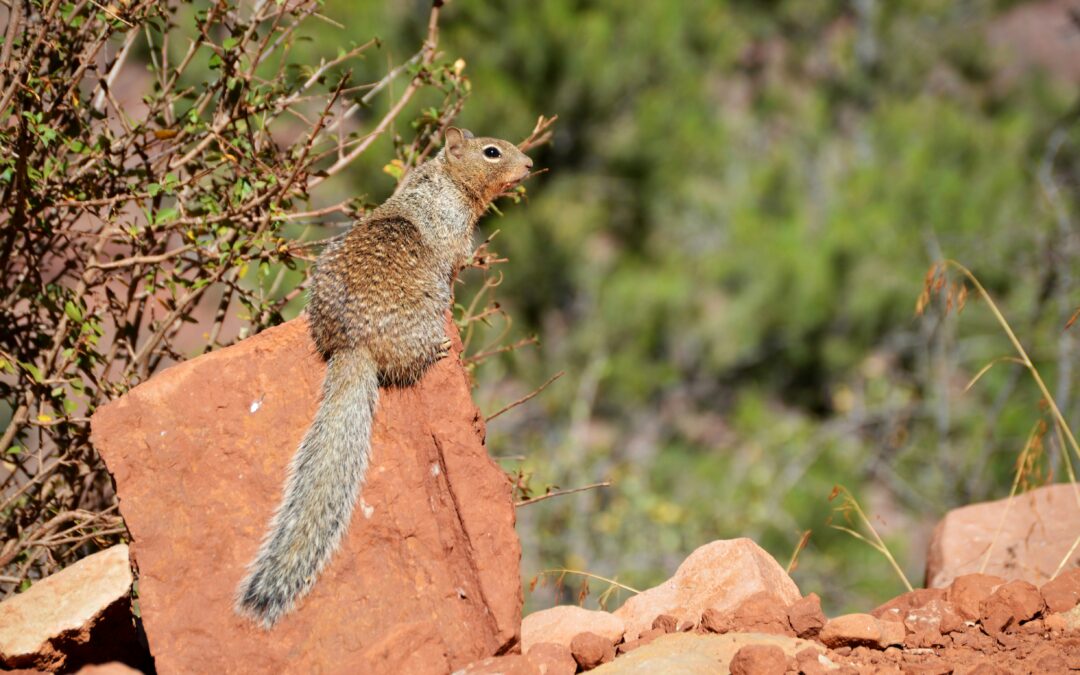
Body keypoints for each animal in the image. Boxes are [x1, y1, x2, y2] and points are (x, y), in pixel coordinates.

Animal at [235, 128, 533, 628]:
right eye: (492, 151)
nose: (530, 164)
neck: (443, 178)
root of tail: (352, 346)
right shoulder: (454, 239)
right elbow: (457, 261)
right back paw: (441, 347)